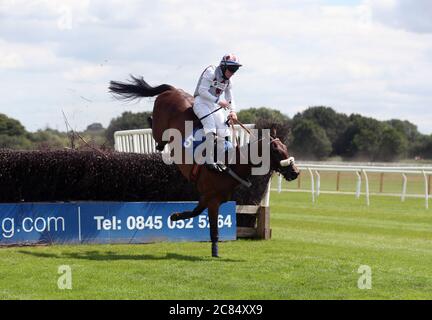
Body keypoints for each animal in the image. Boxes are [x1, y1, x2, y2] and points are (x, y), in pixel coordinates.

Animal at [108, 77, 298, 258]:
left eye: (286, 148)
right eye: (276, 151)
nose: (295, 172)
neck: (229, 163)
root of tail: (173, 90)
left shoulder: (209, 197)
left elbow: (194, 212)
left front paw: (175, 216)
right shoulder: (212, 199)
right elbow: (212, 227)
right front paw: (215, 252)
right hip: (161, 126)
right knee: (156, 132)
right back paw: (151, 126)